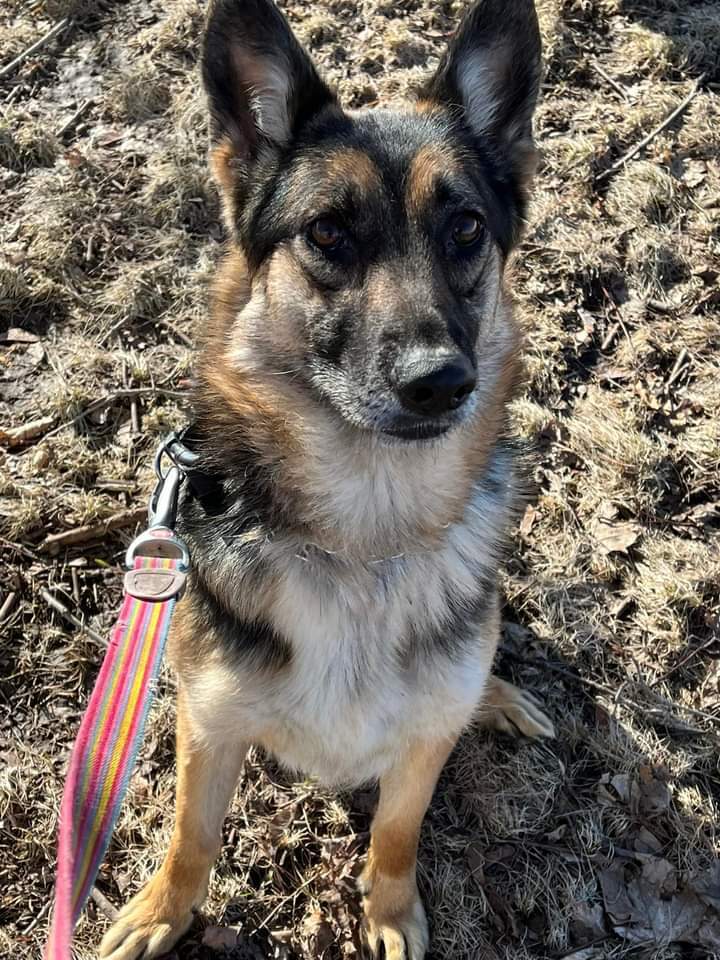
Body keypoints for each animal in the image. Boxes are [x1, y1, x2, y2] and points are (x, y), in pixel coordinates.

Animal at [98, 1, 552, 960]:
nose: (440, 382)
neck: (364, 544)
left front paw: (387, 910)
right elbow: (192, 837)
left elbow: (397, 831)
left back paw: (497, 698)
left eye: (466, 228)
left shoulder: (419, 752)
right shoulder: (210, 724)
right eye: (327, 234)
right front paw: (162, 912)